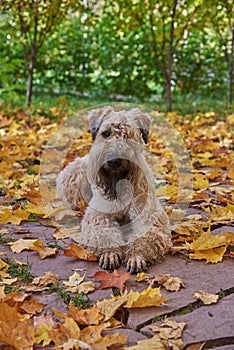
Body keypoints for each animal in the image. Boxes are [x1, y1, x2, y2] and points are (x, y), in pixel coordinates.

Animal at [56, 106, 171, 274]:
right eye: (106, 133)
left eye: (128, 134)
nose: (113, 160)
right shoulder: (98, 217)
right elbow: (105, 232)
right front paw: (110, 254)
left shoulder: (148, 218)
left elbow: (143, 237)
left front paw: (136, 257)